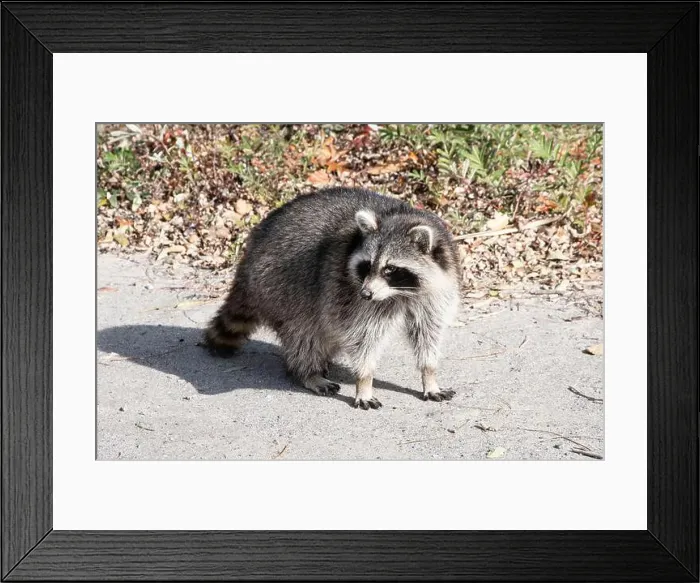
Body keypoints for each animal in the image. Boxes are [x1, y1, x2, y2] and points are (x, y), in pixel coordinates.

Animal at [204, 187, 461, 410]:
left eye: (390, 269)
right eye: (367, 265)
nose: (366, 293)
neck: (401, 293)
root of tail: (248, 258)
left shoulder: (433, 292)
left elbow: (428, 332)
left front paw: (429, 374)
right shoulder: (349, 292)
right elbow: (363, 337)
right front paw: (364, 381)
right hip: (281, 287)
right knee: (304, 333)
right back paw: (307, 372)